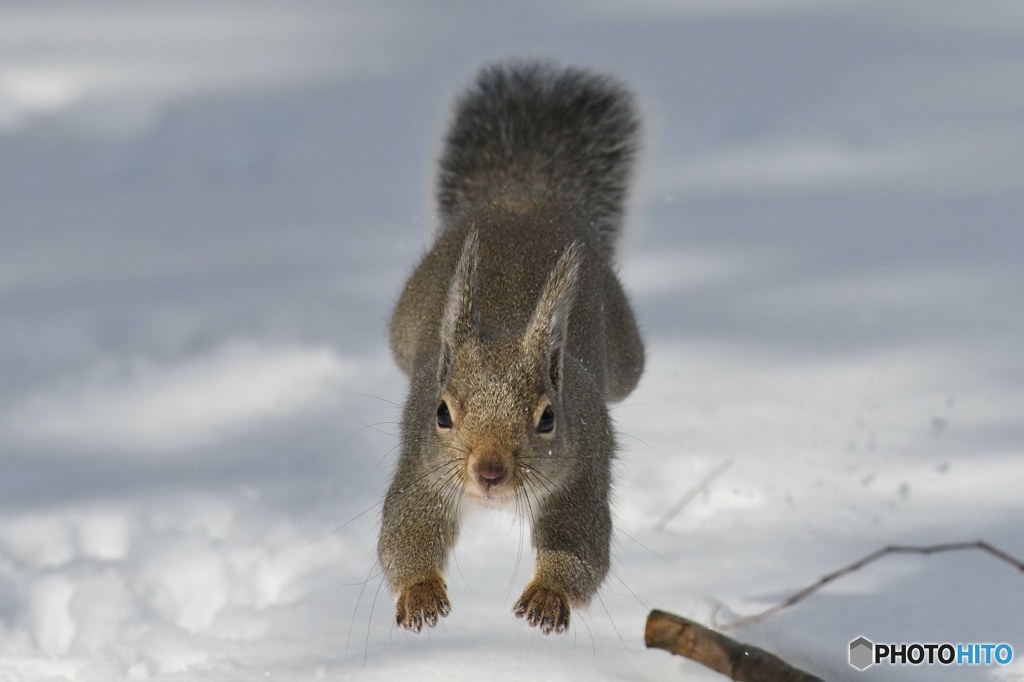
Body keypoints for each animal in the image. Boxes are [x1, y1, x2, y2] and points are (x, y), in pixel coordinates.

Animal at [380, 61, 643, 634]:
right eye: (442, 412)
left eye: (548, 418)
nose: (490, 472)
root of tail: (524, 193)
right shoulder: (421, 465)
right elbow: (404, 532)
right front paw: (420, 593)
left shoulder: (583, 468)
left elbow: (580, 544)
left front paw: (547, 594)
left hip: (627, 357)